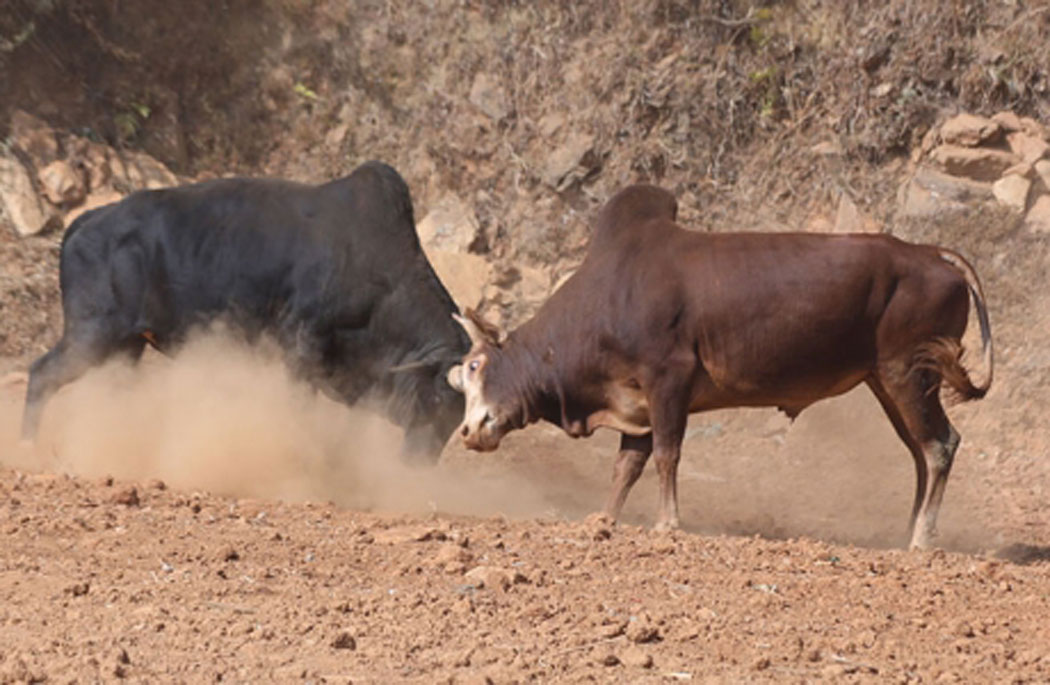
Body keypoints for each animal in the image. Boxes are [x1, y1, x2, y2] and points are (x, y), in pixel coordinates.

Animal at [20, 159, 468, 466]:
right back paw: (29, 449)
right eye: (437, 400)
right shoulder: (301, 348)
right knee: (41, 373)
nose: (419, 460)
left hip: (125, 347)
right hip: (91, 335)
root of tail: (85, 222)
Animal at [447, 184, 986, 550]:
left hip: (907, 373)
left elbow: (667, 455)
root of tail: (932, 254)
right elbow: (626, 467)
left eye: (476, 365)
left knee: (940, 445)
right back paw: (909, 530)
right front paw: (603, 520)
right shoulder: (637, 403)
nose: (471, 431)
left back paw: (922, 539)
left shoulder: (668, 380)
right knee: (919, 452)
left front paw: (668, 523)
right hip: (888, 381)